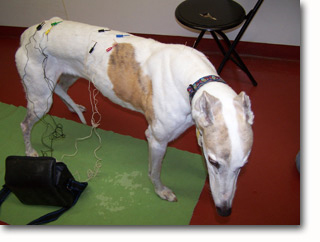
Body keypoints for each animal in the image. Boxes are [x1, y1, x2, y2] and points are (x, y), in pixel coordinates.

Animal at [15, 18, 255, 216]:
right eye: (214, 162)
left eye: (243, 166)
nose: (224, 211)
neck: (195, 80)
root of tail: (28, 31)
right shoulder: (157, 139)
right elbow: (155, 171)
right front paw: (161, 191)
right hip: (40, 99)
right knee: (25, 124)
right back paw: (29, 151)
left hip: (69, 74)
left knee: (62, 88)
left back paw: (74, 108)